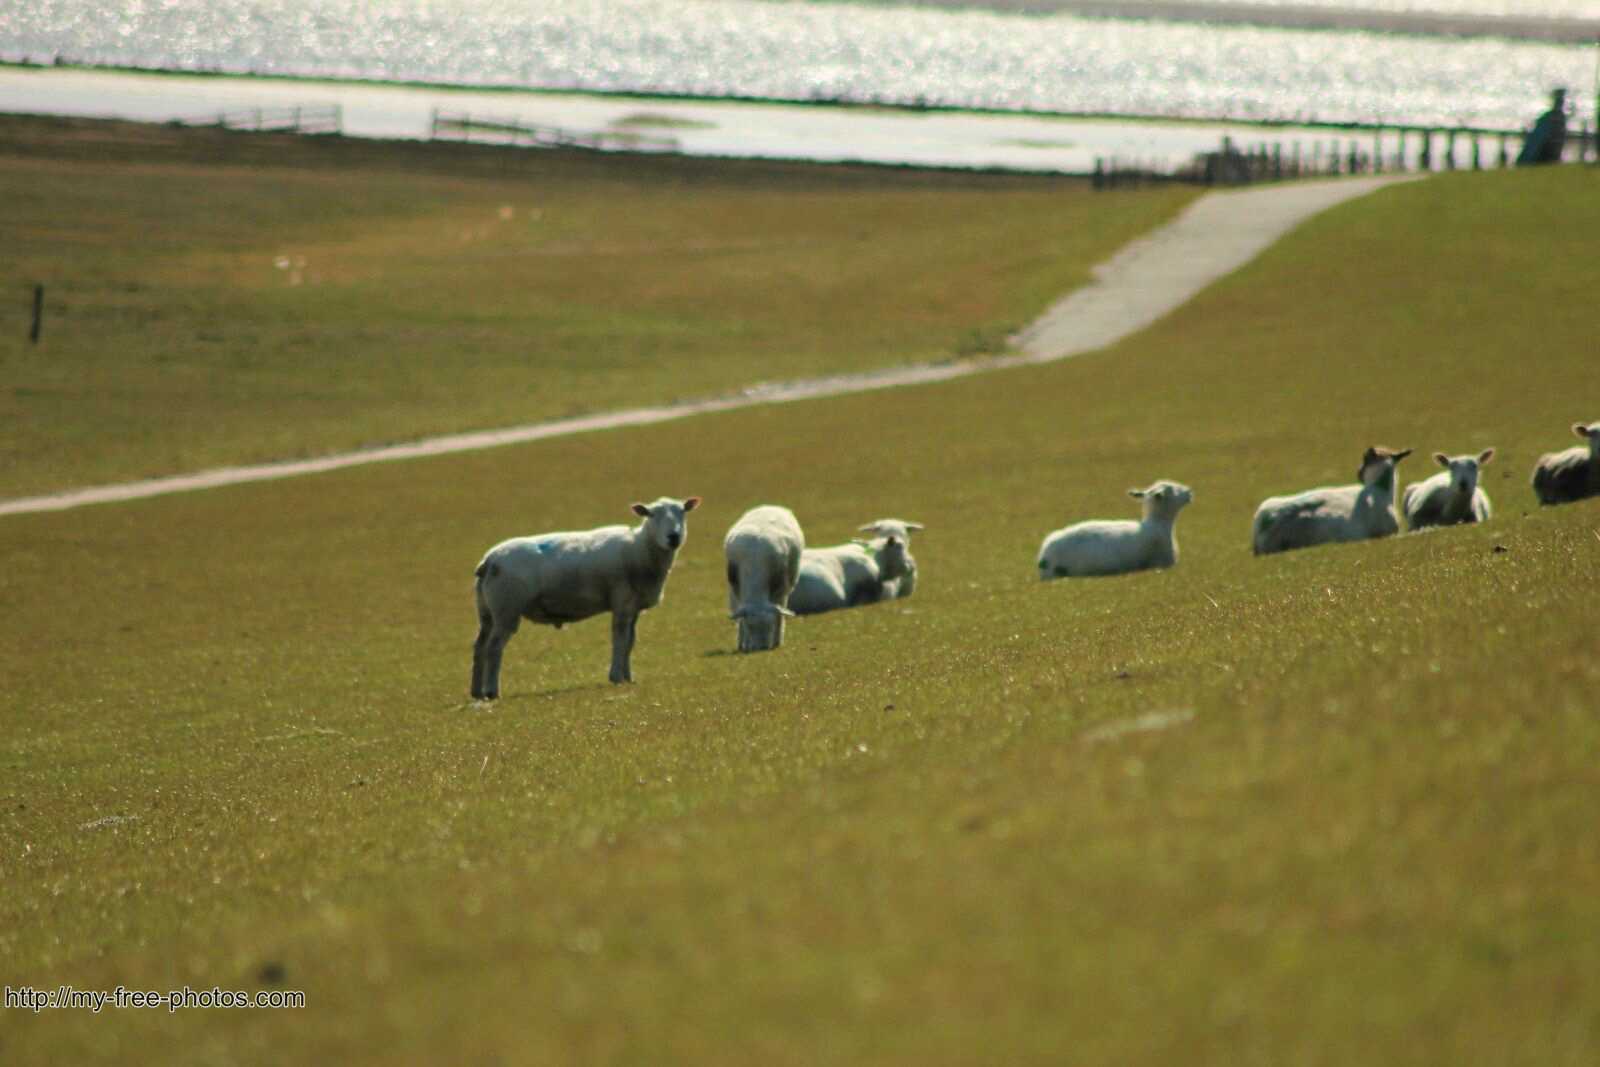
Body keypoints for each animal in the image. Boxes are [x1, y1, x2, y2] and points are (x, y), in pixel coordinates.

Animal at [470, 496, 700, 698]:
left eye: (683, 512)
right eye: (651, 514)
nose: (673, 537)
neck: (640, 549)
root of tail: (489, 561)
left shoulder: (634, 607)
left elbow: (630, 641)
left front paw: (628, 677)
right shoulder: (622, 601)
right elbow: (619, 639)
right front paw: (616, 677)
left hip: (487, 612)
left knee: (479, 646)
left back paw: (476, 692)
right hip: (506, 608)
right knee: (494, 648)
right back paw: (492, 692)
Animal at [724, 506, 805, 652]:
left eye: (770, 625)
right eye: (750, 626)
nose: (761, 648)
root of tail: (771, 506)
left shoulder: (780, 588)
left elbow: (779, 614)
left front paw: (776, 642)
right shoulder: (735, 587)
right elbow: (739, 614)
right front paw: (742, 644)